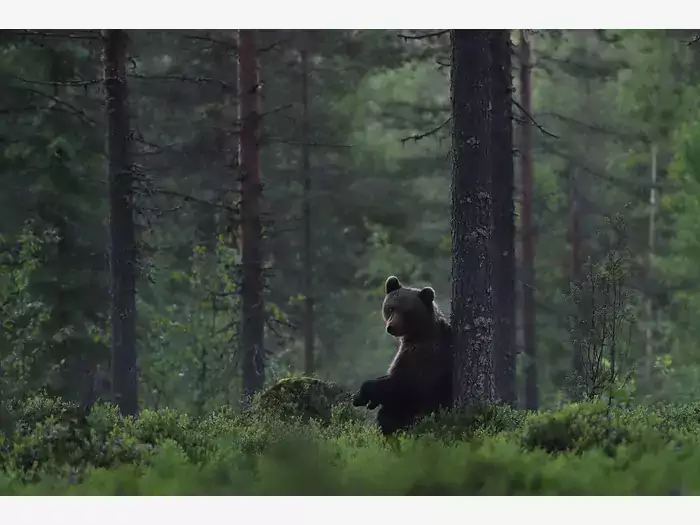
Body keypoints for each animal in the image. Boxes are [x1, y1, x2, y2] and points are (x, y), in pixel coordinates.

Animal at [350, 274, 454, 434]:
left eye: (407, 311)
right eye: (390, 308)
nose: (391, 327)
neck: (417, 334)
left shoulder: (425, 356)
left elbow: (405, 384)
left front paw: (363, 393)